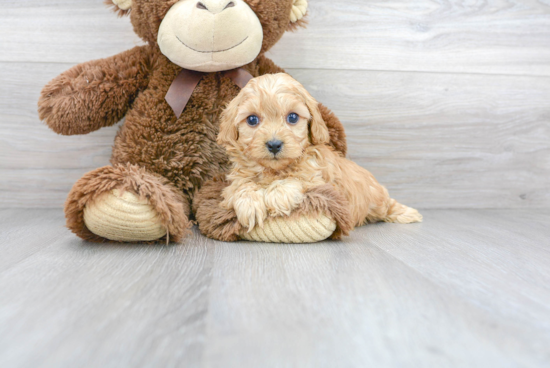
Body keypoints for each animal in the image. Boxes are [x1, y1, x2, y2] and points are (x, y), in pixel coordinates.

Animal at [218, 73, 424, 231]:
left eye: (293, 117)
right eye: (252, 120)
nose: (274, 144)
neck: (274, 170)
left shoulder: (321, 181)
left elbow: (298, 180)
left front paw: (276, 195)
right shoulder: (235, 180)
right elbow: (241, 186)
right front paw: (250, 204)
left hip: (376, 199)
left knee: (388, 205)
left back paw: (408, 213)